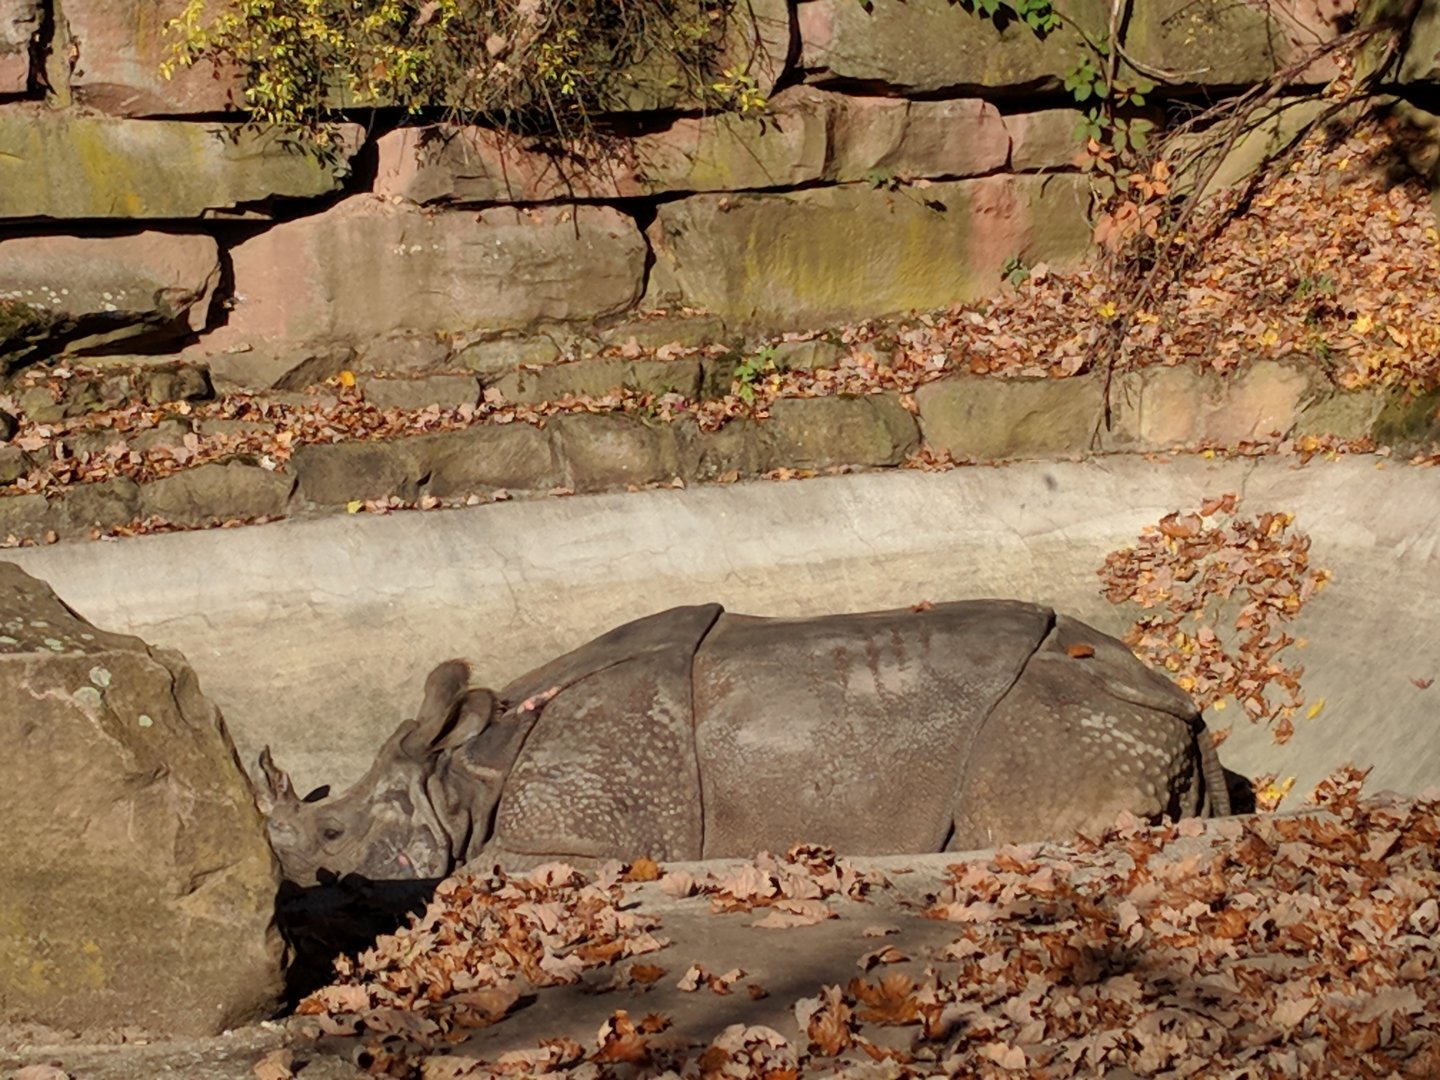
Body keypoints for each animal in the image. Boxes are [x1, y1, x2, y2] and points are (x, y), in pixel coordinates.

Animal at [258, 600, 1230, 885]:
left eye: (333, 833)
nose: (296, 883)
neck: (468, 773)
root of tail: (1182, 703)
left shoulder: (580, 832)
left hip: (1053, 722)